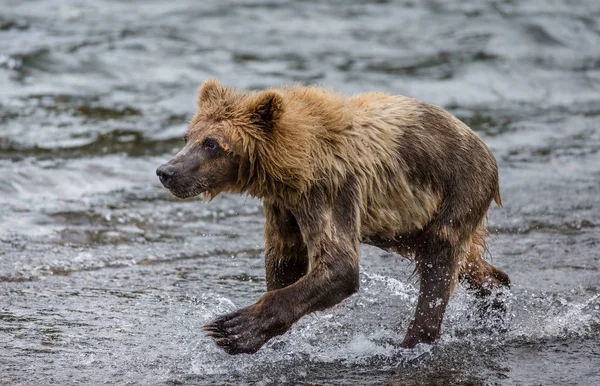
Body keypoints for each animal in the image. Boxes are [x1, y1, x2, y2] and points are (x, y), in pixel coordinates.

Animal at [156, 80, 510, 354]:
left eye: (212, 143)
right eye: (187, 137)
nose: (166, 171)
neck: (292, 165)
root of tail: (484, 146)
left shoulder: (330, 190)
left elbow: (338, 266)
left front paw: (232, 328)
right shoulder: (284, 205)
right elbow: (286, 259)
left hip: (458, 188)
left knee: (440, 257)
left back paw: (411, 341)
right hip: (411, 223)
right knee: (465, 262)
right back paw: (495, 300)